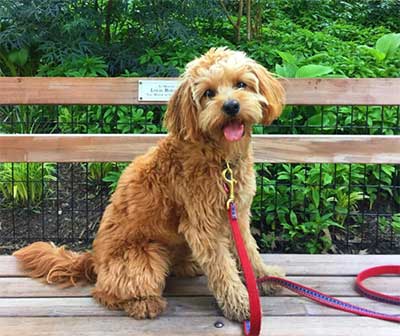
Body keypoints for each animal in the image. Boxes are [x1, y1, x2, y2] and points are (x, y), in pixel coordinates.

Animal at [14, 46, 286, 320]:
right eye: (209, 93)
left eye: (241, 84)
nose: (231, 106)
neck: (221, 160)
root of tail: (92, 259)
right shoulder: (202, 225)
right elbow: (222, 268)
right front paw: (241, 303)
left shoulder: (237, 214)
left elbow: (249, 251)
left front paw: (265, 277)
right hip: (145, 255)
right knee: (106, 291)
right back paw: (145, 303)